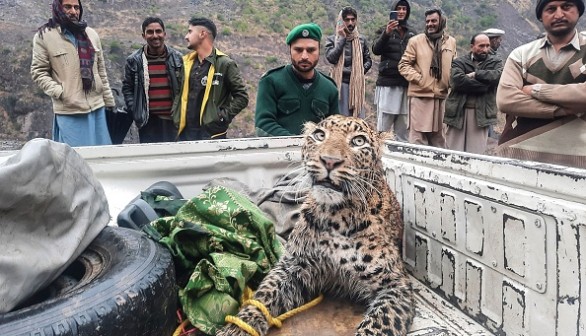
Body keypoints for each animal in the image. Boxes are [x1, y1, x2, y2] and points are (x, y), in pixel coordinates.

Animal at [217, 115, 412, 336]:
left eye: (358, 141)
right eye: (319, 135)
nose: (329, 160)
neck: (336, 216)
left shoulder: (395, 284)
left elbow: (376, 326)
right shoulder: (293, 266)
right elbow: (264, 295)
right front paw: (235, 328)